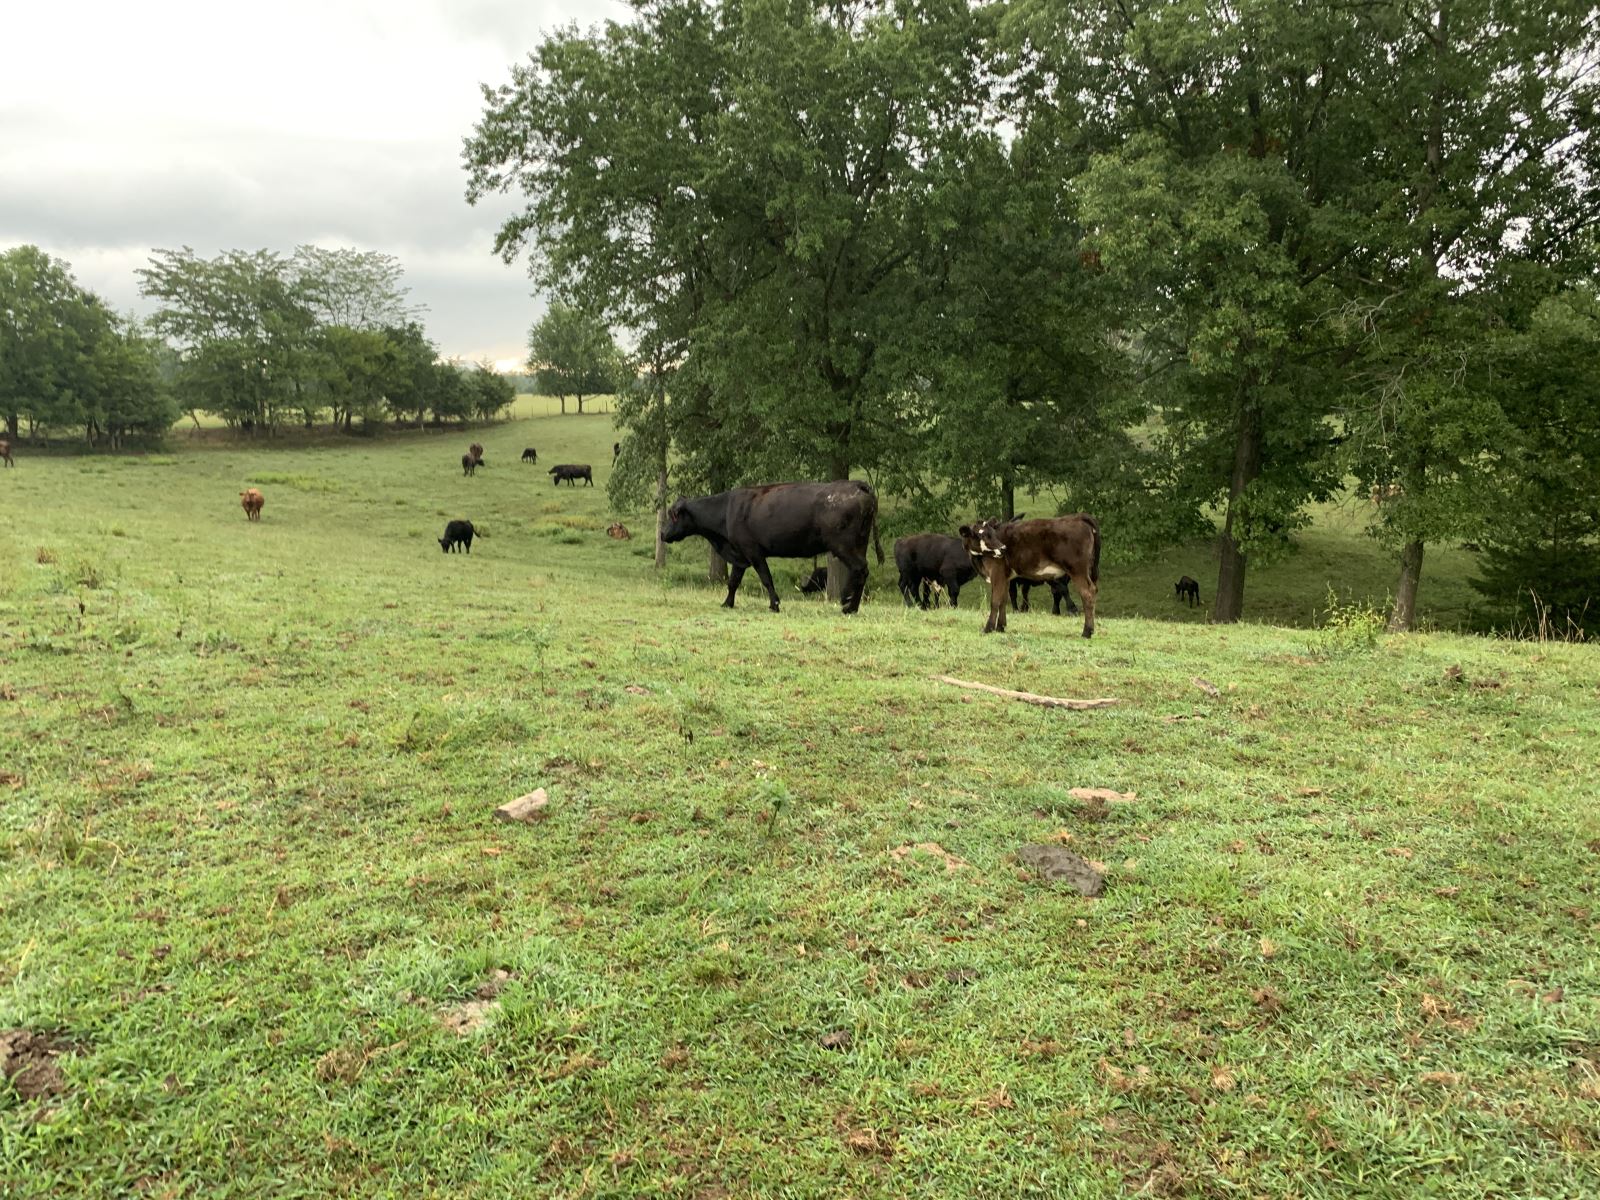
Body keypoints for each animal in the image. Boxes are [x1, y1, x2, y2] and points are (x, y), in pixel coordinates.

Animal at [665, 483, 889, 614]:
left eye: (673, 515)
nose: (662, 534)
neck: (726, 510)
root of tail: (857, 485)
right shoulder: (740, 555)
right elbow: (733, 582)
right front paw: (727, 603)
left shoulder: (753, 551)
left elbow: (766, 578)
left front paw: (774, 604)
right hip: (858, 544)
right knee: (860, 571)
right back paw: (850, 604)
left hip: (844, 546)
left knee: (860, 570)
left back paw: (848, 604)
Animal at [953, 515, 1094, 640]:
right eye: (981, 535)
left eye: (992, 533)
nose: (1003, 548)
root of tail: (1077, 517)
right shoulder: (1006, 577)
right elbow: (1003, 600)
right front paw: (1000, 627)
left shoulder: (997, 574)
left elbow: (995, 601)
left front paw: (988, 628)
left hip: (1077, 570)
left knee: (1087, 594)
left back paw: (1087, 632)